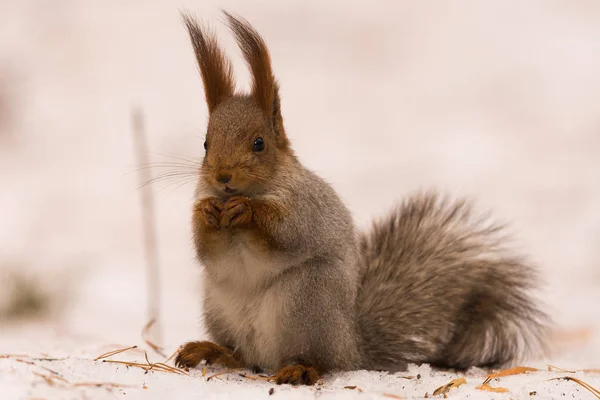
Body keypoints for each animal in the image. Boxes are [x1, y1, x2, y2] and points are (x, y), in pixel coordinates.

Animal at [175, 11, 548, 388]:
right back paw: (212, 351)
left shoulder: (305, 209)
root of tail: (351, 346)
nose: (222, 177)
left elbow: (285, 235)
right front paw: (206, 213)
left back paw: (300, 368)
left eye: (259, 143)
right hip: (219, 306)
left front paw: (246, 211)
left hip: (307, 300)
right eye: (206, 144)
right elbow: (207, 250)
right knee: (242, 355)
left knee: (318, 359)